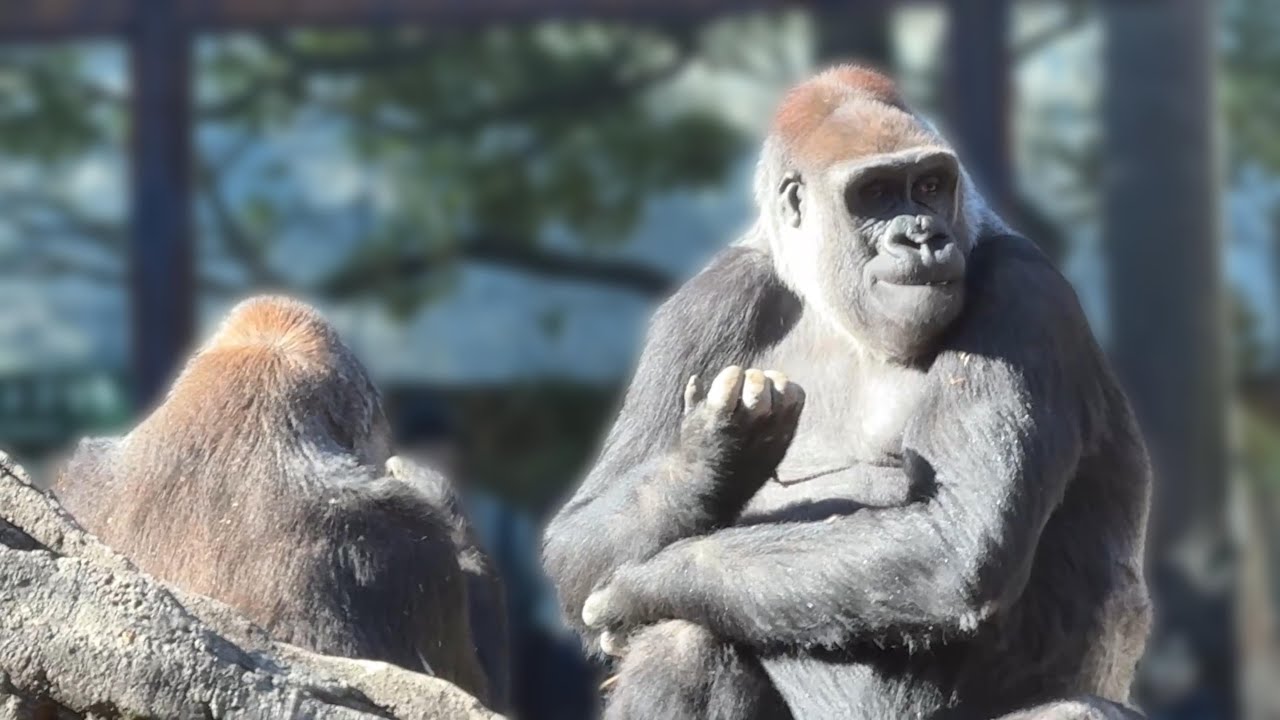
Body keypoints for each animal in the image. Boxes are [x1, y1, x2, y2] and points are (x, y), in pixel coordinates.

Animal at [541, 65, 1152, 720]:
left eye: (930, 185)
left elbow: (956, 541)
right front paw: (715, 456)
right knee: (684, 644)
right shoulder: (703, 307)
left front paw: (641, 587)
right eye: (876, 194)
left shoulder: (1027, 292)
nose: (924, 237)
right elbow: (578, 540)